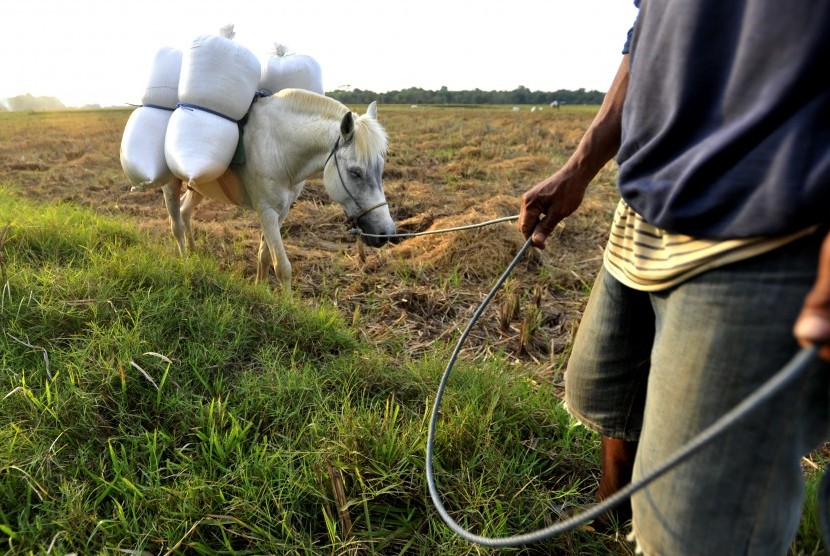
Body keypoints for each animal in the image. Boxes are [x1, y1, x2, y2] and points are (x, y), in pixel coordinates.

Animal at [163, 88, 400, 288]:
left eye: (381, 169)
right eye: (355, 172)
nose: (385, 234)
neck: (279, 147)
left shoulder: (282, 211)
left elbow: (265, 256)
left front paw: (260, 290)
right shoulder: (267, 211)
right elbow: (282, 266)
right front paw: (286, 307)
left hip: (198, 187)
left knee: (185, 211)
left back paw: (194, 252)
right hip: (171, 185)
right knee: (176, 225)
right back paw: (186, 261)